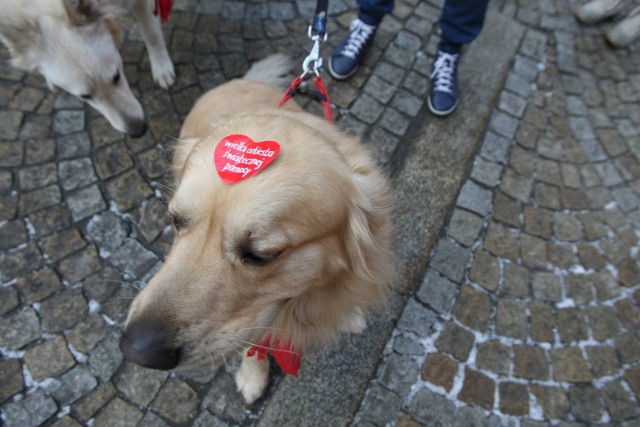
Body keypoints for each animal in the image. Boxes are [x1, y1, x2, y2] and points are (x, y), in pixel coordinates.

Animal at [0, 0, 175, 137]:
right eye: (85, 97)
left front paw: (162, 68)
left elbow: (152, 33)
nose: (138, 131)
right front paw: (47, 78)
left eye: (116, 76)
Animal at [117, 54, 392, 404]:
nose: (136, 351)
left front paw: (349, 315)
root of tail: (236, 81)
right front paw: (252, 375)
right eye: (175, 220)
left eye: (261, 255)